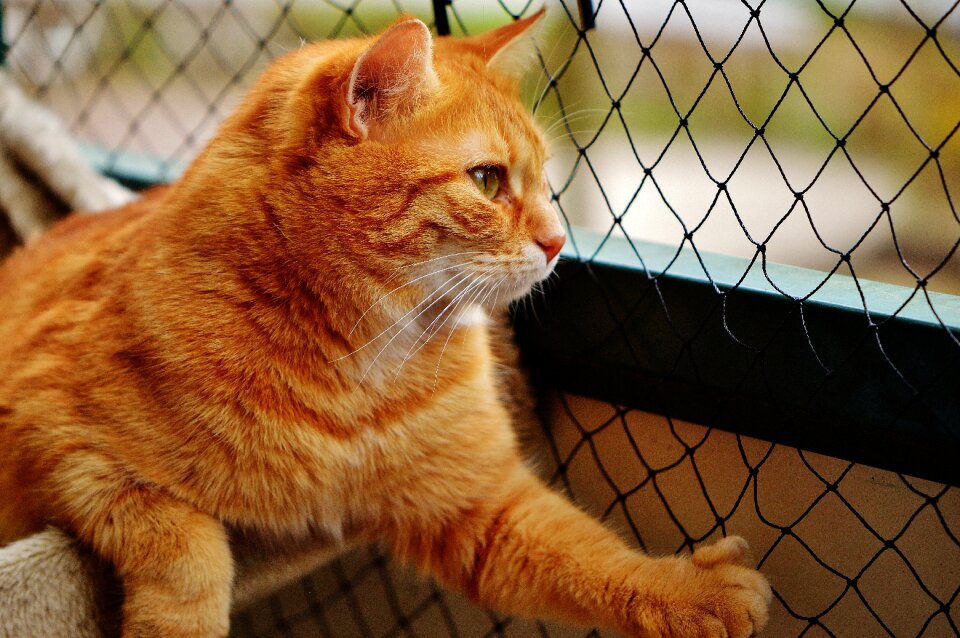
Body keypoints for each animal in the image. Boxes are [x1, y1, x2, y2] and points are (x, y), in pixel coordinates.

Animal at [0, 11, 768, 638]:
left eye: (547, 180)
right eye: (487, 180)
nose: (557, 242)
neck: (358, 367)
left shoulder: (481, 505)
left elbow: (590, 557)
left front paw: (690, 593)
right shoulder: (64, 443)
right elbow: (187, 549)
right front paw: (179, 623)